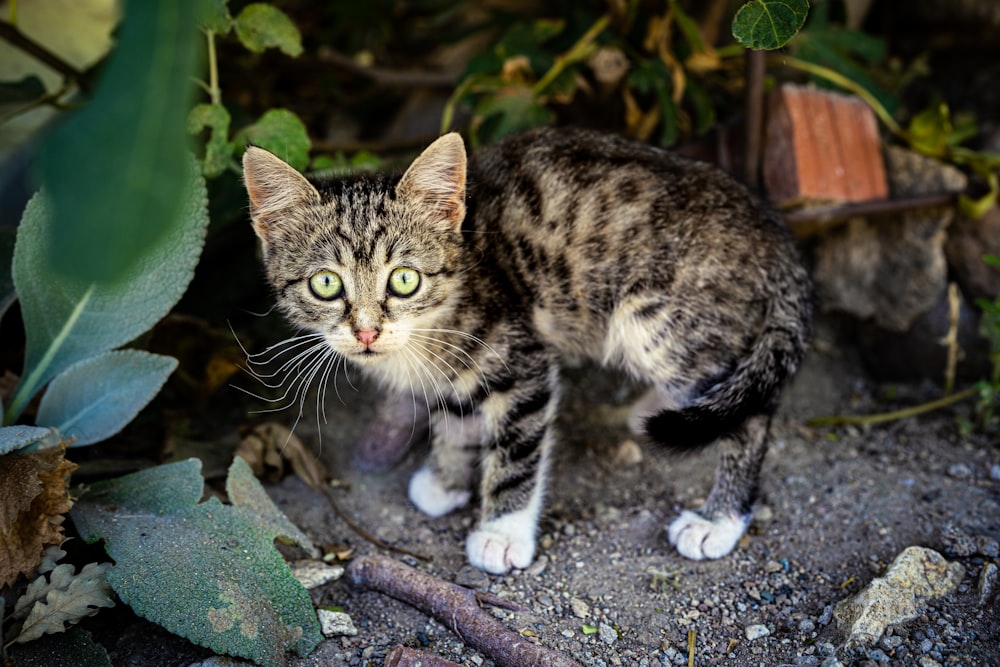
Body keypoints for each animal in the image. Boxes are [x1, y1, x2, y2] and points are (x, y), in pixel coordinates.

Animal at [242, 128, 812, 576]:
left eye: (404, 279)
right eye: (325, 284)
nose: (366, 332)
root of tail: (777, 237)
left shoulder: (521, 358)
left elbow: (517, 449)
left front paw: (502, 531)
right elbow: (455, 414)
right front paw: (446, 478)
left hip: (656, 320)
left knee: (748, 413)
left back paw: (719, 519)